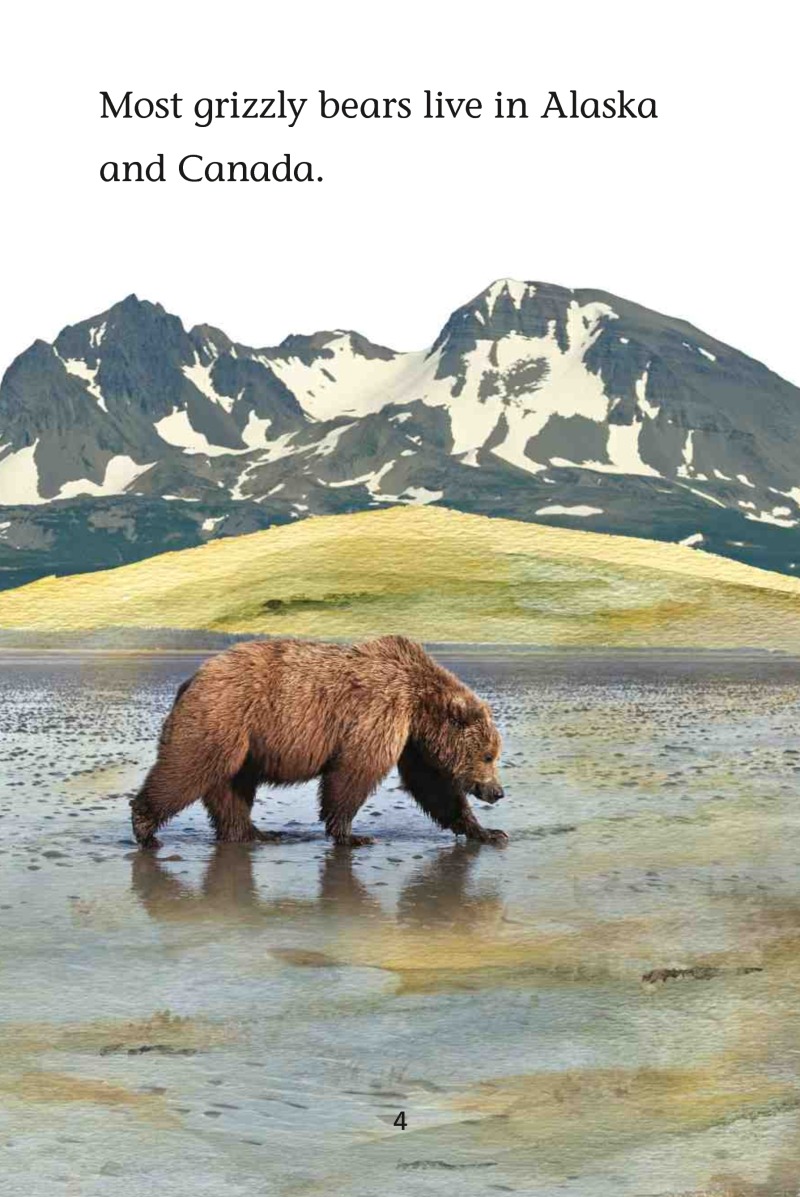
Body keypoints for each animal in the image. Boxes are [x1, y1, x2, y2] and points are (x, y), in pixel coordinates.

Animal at [130, 634, 506, 849]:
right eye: (488, 755)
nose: (497, 792)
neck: (420, 703)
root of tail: (194, 676)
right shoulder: (379, 714)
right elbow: (353, 774)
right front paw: (353, 835)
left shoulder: (413, 740)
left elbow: (434, 785)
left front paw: (487, 832)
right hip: (224, 716)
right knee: (190, 767)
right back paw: (146, 828)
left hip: (245, 744)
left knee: (232, 787)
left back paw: (255, 832)